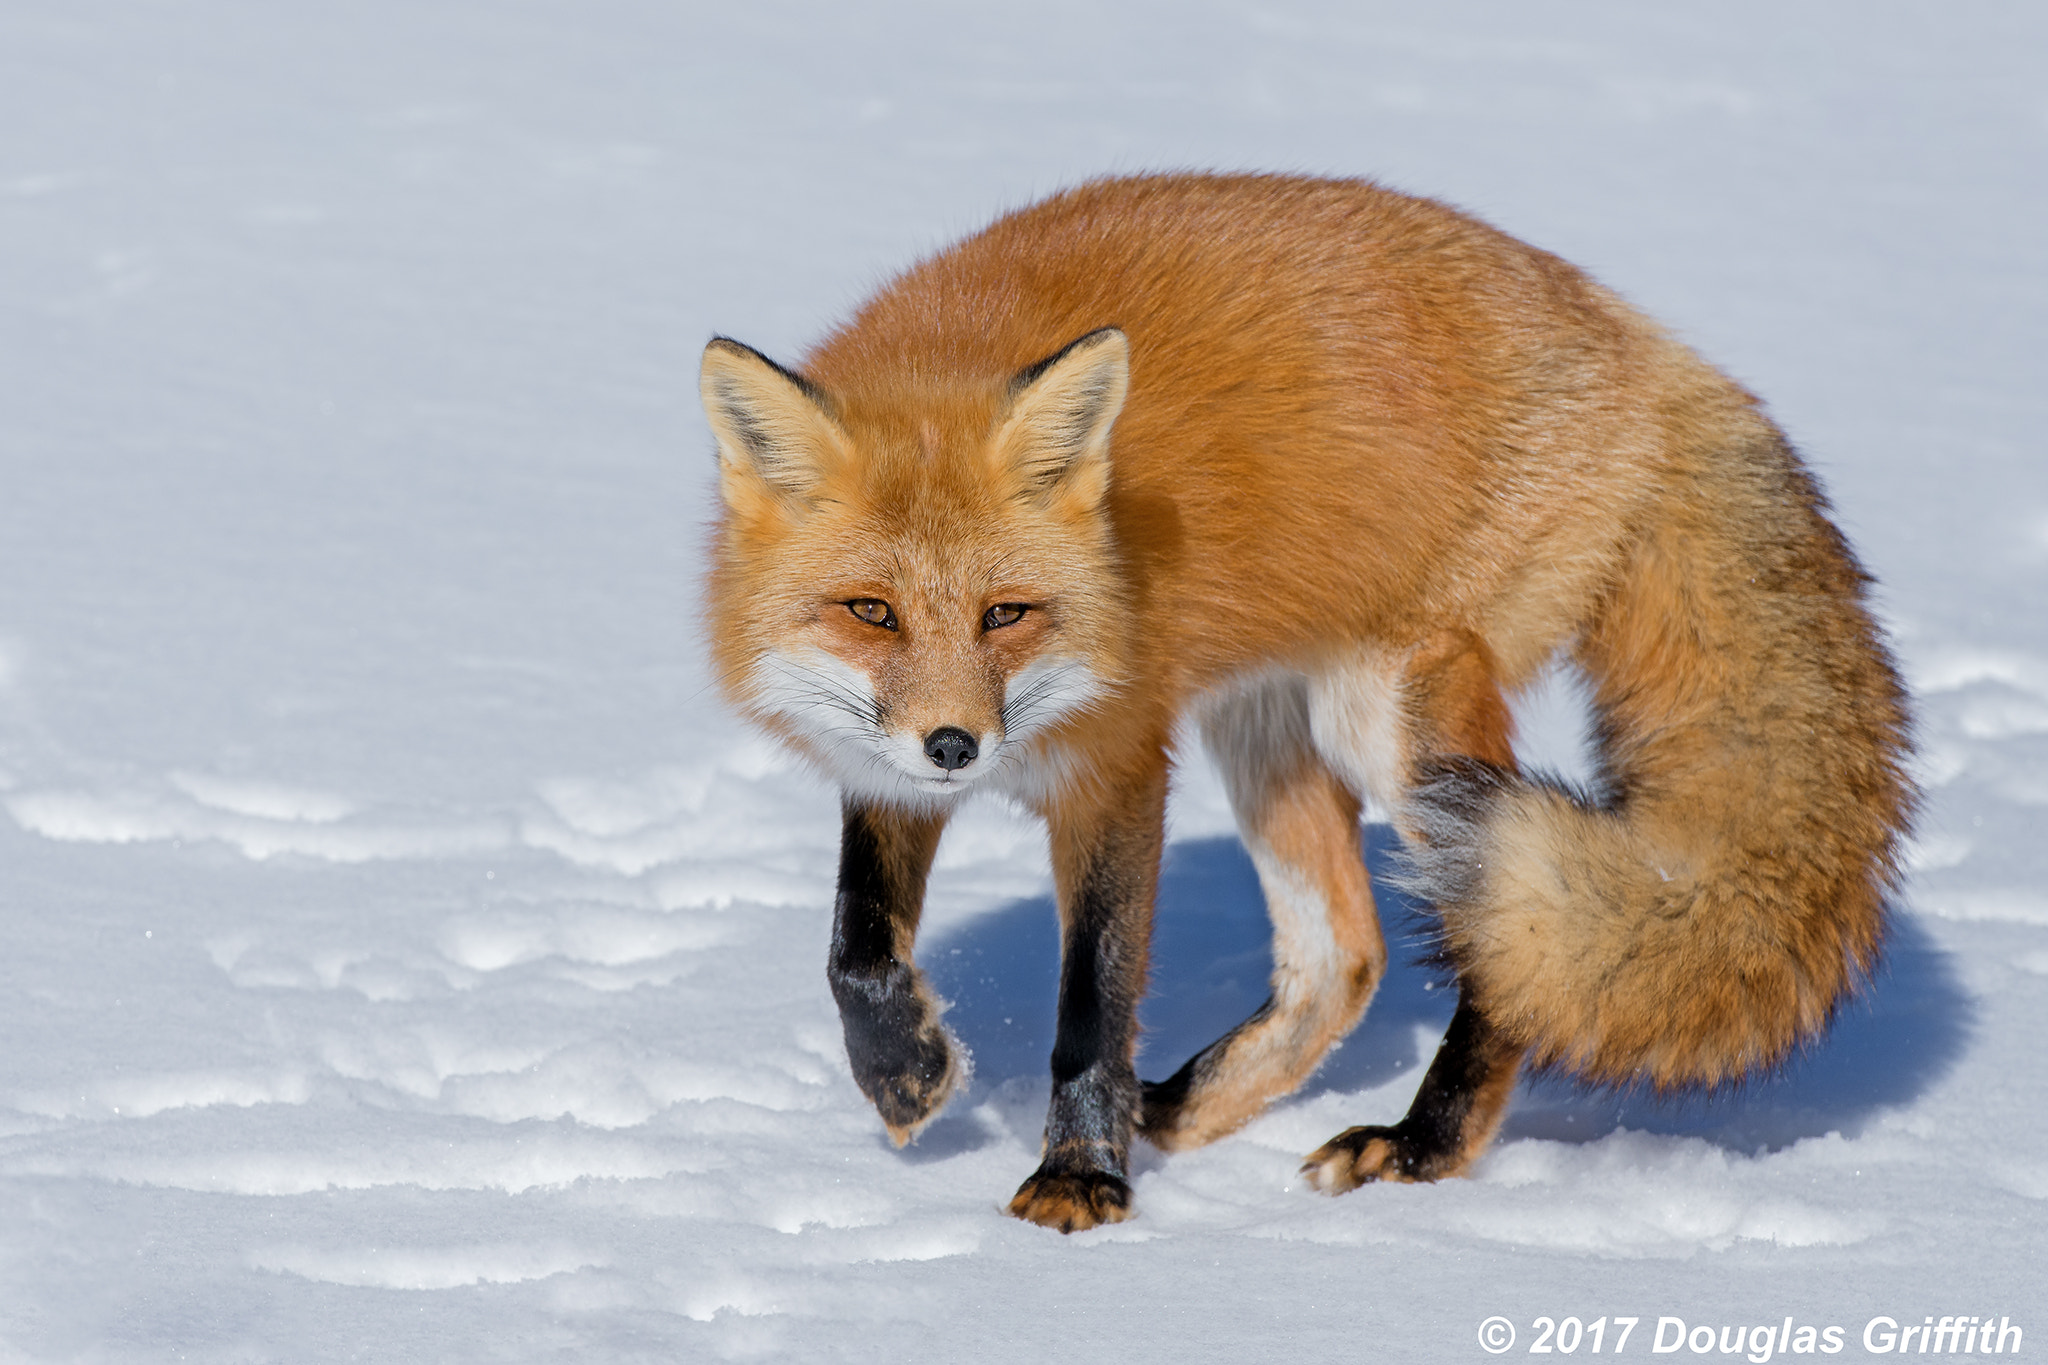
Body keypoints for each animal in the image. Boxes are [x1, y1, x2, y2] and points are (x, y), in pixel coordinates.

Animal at [697, 173, 1914, 1234]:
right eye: (871, 612)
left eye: (1007, 614)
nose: (956, 746)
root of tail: (1646, 345)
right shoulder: (879, 763)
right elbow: (855, 950)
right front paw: (905, 1075)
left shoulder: (1119, 765)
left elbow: (1090, 1006)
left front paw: (1080, 1178)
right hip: (1264, 726)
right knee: (1347, 959)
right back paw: (1185, 1107)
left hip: (1392, 726)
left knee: (1496, 951)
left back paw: (1418, 1147)